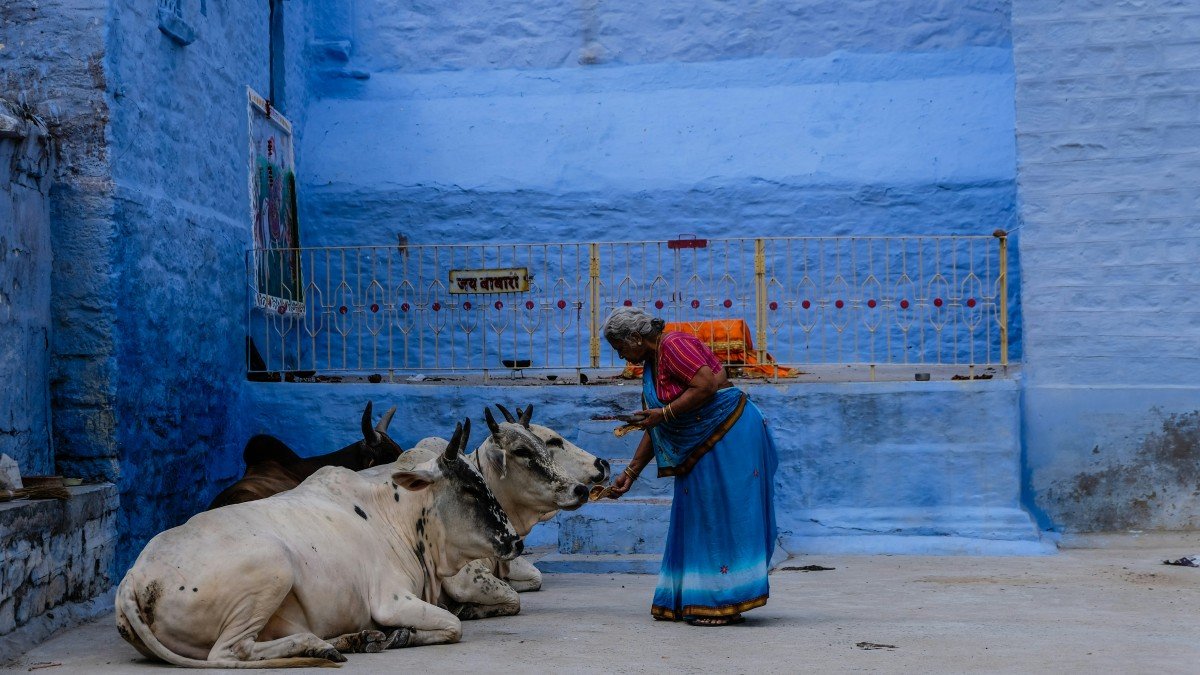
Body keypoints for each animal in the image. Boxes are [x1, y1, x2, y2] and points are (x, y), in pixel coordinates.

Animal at [115, 419, 522, 668]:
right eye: (470, 489)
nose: (515, 541)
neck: (397, 516)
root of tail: (133, 578)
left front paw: (391, 636)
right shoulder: (391, 599)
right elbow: (453, 625)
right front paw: (401, 636)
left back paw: (351, 639)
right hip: (274, 566)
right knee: (229, 652)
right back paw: (315, 644)